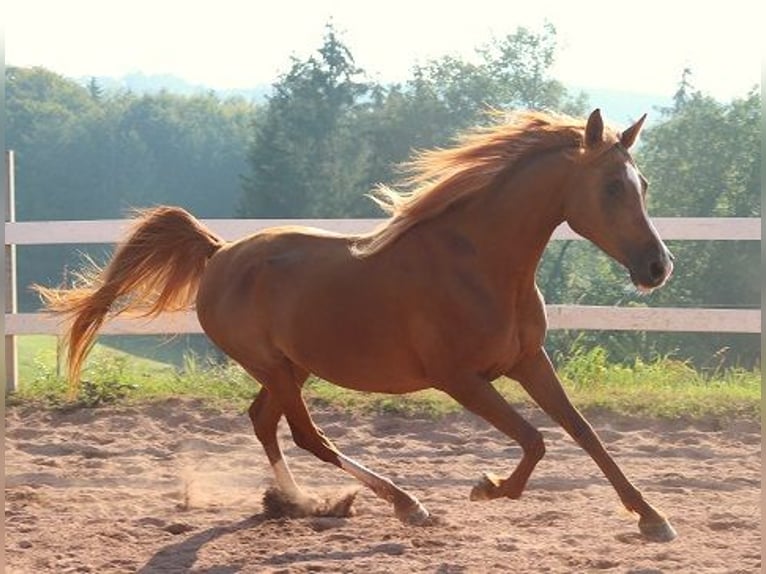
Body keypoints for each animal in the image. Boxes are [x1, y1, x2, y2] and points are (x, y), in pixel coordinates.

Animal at [36, 109, 680, 544]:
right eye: (611, 186)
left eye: (644, 185)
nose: (658, 267)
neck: (482, 264)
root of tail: (218, 253)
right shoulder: (461, 380)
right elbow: (535, 439)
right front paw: (488, 487)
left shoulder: (529, 362)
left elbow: (583, 432)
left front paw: (653, 518)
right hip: (274, 367)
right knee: (306, 436)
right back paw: (403, 503)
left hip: (289, 368)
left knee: (264, 422)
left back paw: (298, 503)